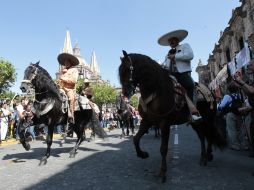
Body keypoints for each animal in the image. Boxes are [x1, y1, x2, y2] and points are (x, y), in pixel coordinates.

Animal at [119, 50, 226, 183]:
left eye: (128, 69)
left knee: (210, 135)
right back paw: (203, 157)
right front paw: (143, 154)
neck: (156, 90)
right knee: (202, 136)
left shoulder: (165, 123)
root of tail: (210, 92)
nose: (125, 93)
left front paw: (162, 172)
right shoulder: (147, 121)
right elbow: (136, 139)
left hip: (208, 119)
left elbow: (163, 148)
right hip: (196, 123)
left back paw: (208, 156)